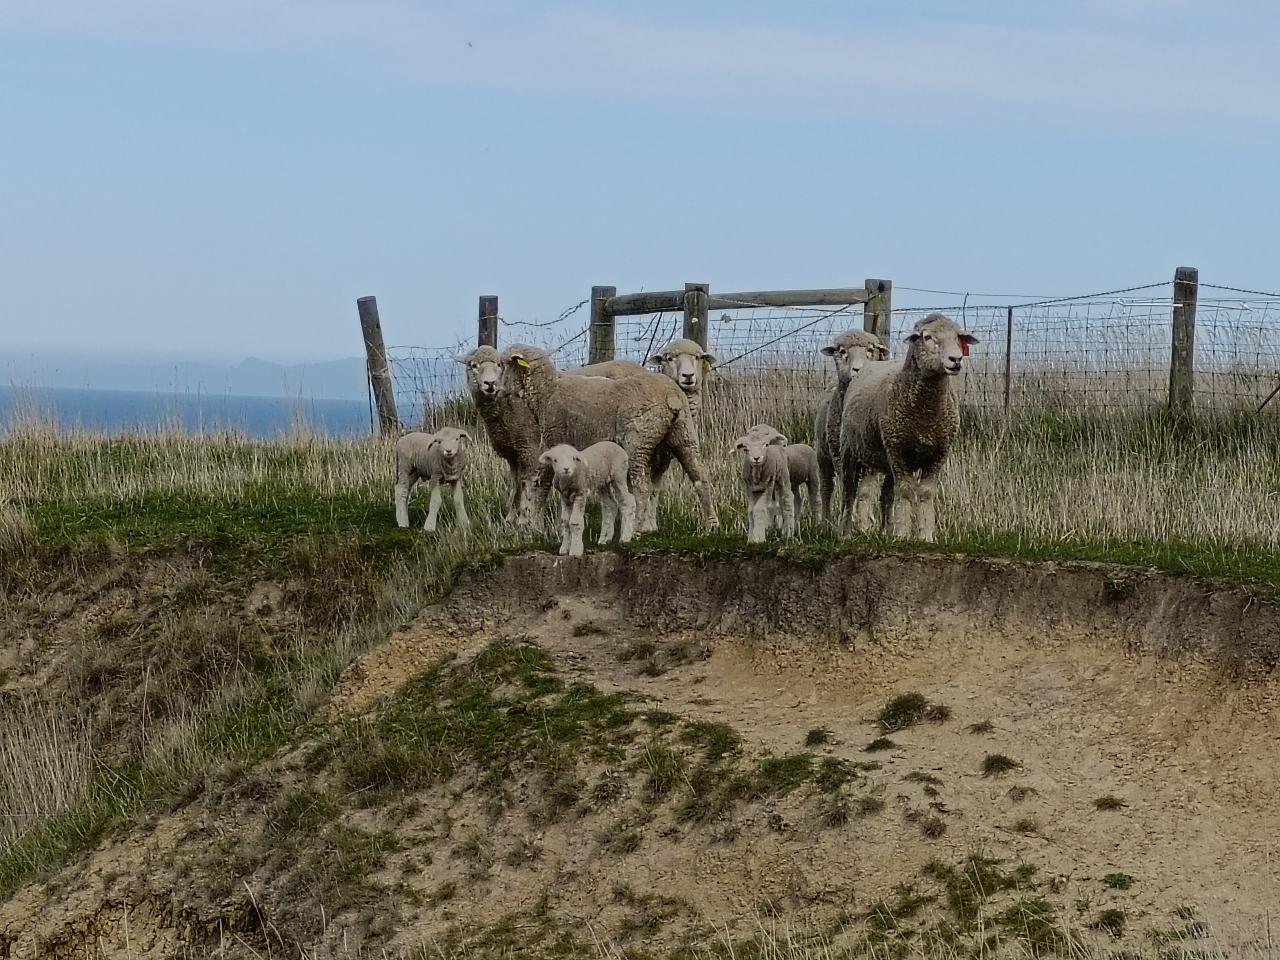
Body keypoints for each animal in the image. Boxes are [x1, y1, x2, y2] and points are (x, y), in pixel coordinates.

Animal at [454, 346, 543, 526]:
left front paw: (524, 519)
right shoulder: (512, 452)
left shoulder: (529, 447)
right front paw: (511, 516)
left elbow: (527, 482)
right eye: (473, 365)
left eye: (499, 364)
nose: (490, 383)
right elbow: (516, 481)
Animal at [497, 344, 719, 534]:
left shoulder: (555, 440)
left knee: (642, 488)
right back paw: (712, 525)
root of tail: (672, 396)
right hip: (684, 434)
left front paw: (535, 526)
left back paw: (636, 529)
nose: (494, 388)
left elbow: (543, 484)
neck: (546, 392)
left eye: (502, 364)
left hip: (638, 441)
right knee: (701, 478)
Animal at [812, 330, 888, 523]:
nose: (858, 370)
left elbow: (865, 492)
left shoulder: (870, 460)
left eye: (870, 350)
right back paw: (825, 520)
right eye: (842, 352)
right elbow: (848, 488)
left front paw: (864, 523)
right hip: (822, 453)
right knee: (826, 486)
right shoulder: (838, 454)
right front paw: (849, 518)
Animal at [838, 312, 978, 542]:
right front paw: (903, 534)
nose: (956, 359)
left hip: (880, 457)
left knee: (882, 493)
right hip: (850, 450)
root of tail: (868, 366)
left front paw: (925, 535)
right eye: (927, 337)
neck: (926, 417)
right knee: (849, 491)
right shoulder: (899, 451)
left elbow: (926, 492)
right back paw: (845, 532)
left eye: (958, 337)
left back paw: (882, 529)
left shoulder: (938, 453)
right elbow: (905, 491)